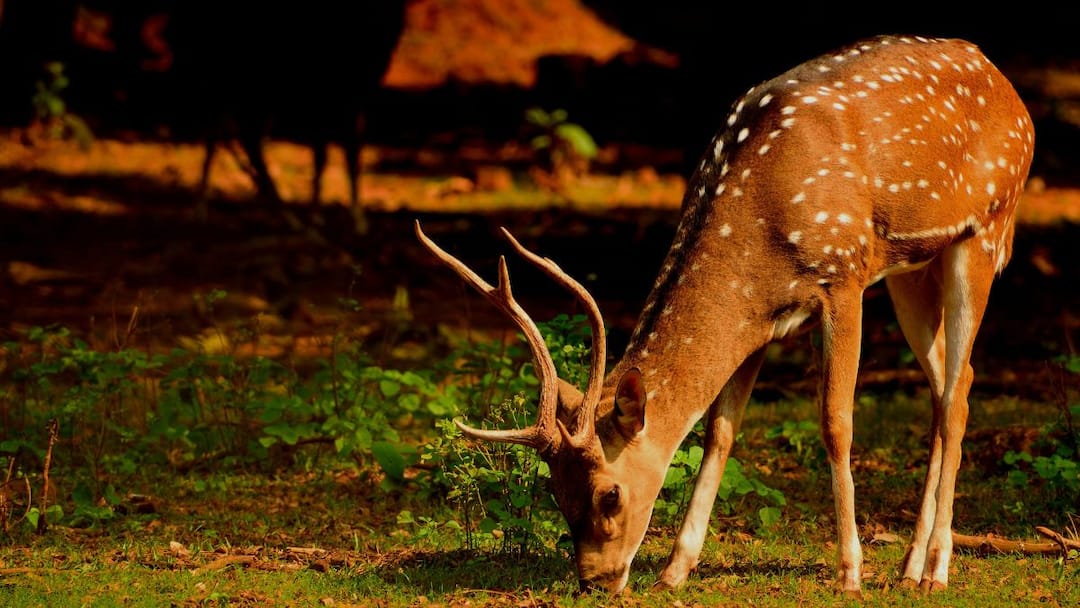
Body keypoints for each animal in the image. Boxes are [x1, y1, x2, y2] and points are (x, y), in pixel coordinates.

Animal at [415, 35, 1034, 597]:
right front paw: (674, 570)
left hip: (985, 231)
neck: (757, 232)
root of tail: (1009, 88)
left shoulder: (844, 275)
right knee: (951, 385)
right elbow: (720, 431)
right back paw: (908, 567)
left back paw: (935, 569)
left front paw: (850, 573)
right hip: (912, 268)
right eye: (555, 492)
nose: (594, 581)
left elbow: (835, 423)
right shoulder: (761, 321)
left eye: (609, 494)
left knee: (957, 396)